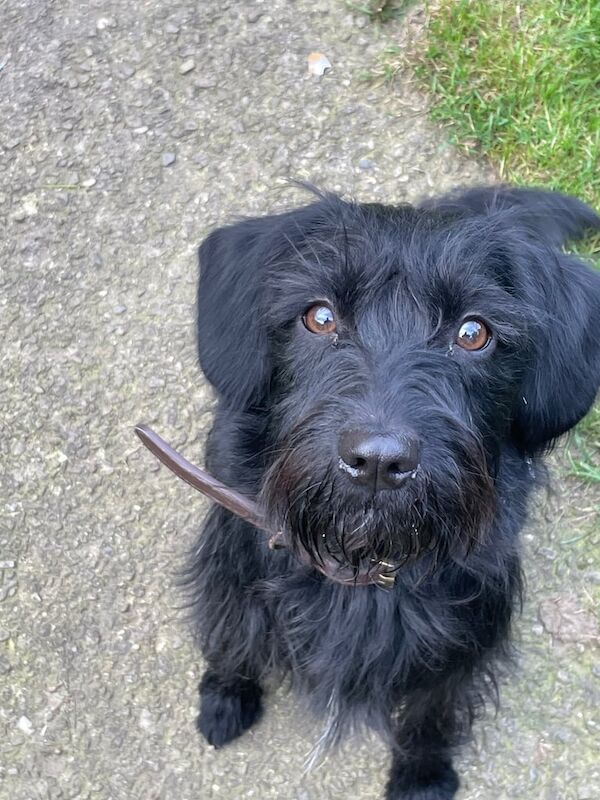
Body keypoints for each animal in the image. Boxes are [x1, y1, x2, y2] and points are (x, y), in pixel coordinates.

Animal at [185, 184, 596, 796]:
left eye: (473, 332)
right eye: (320, 316)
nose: (378, 461)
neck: (365, 557)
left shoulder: (467, 632)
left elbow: (435, 705)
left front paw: (422, 770)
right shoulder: (234, 560)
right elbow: (233, 630)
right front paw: (226, 692)